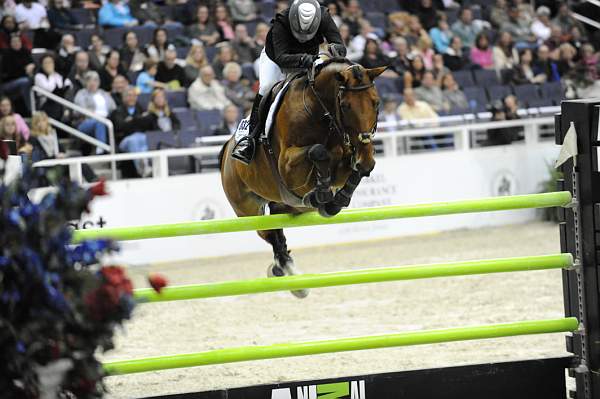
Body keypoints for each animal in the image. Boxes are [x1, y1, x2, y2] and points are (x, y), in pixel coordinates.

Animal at [220, 57, 384, 298]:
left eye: (376, 103)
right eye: (345, 106)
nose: (364, 154)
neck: (320, 112)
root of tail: (226, 149)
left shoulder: (346, 158)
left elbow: (351, 170)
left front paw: (337, 200)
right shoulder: (287, 165)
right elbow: (318, 151)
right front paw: (322, 194)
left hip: (287, 205)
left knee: (277, 226)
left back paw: (286, 271)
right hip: (248, 209)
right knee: (269, 232)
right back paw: (288, 272)